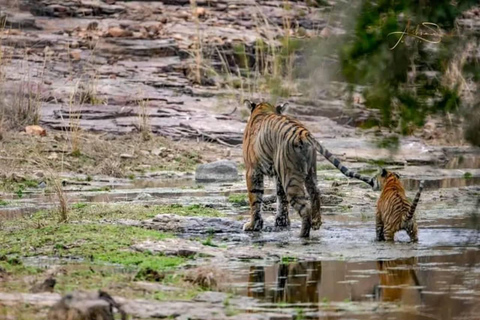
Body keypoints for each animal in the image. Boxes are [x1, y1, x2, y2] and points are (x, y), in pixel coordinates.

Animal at [244, 100, 376, 238]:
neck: (263, 109)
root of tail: (304, 133)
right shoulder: (279, 174)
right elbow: (281, 198)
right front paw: (282, 222)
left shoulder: (252, 170)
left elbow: (255, 198)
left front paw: (253, 225)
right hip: (309, 172)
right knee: (315, 192)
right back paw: (316, 223)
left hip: (291, 178)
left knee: (305, 207)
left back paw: (302, 234)